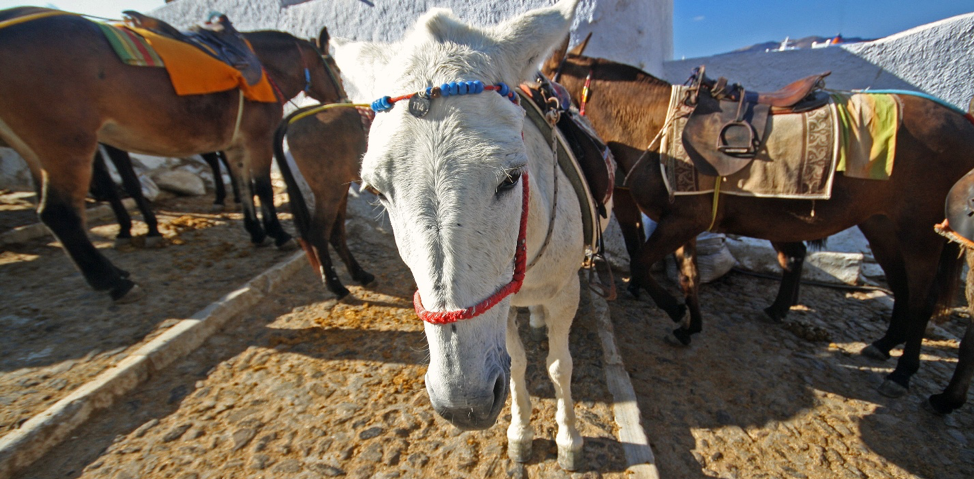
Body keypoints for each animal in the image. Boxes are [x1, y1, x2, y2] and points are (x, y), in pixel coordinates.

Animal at [0, 7, 345, 301]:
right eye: (336, 69)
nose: (342, 99)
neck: (263, 66)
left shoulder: (234, 144)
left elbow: (244, 186)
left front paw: (256, 231)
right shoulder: (257, 138)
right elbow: (262, 188)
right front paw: (277, 233)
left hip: (38, 152)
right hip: (68, 144)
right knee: (59, 213)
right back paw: (115, 281)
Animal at [273, 103, 376, 298]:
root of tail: (302, 113)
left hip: (340, 190)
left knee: (335, 234)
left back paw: (359, 274)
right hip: (330, 191)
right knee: (318, 235)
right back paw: (335, 286)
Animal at [334, 0, 588, 470]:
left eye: (512, 177)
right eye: (377, 191)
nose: (464, 405)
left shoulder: (566, 291)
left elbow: (559, 366)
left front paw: (568, 439)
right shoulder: (502, 308)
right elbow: (518, 364)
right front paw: (520, 433)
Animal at [540, 40, 974, 399]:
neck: (656, 125)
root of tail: (964, 123)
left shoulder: (683, 219)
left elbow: (643, 263)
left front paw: (676, 311)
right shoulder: (684, 218)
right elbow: (688, 273)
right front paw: (689, 325)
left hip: (919, 235)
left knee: (922, 299)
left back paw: (903, 373)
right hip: (881, 227)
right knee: (900, 289)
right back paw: (881, 345)